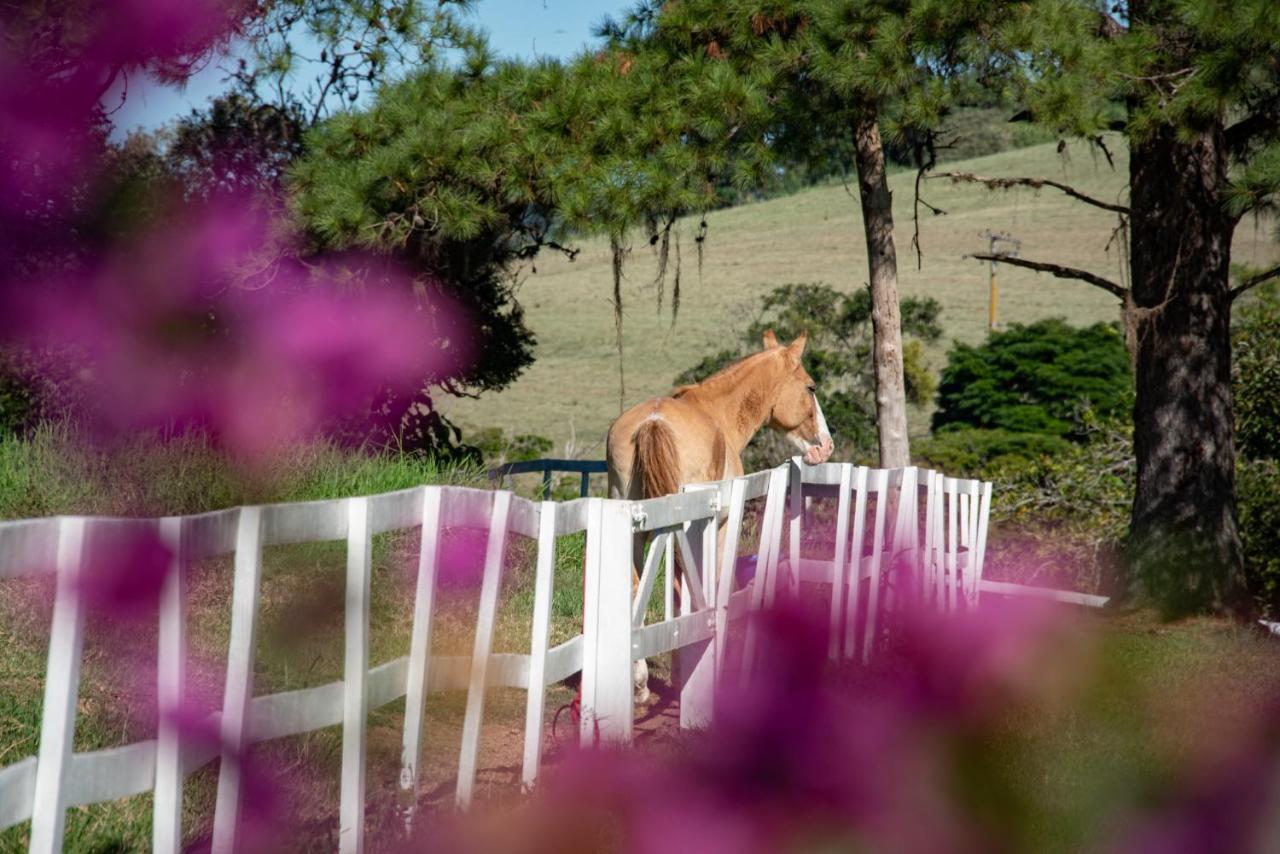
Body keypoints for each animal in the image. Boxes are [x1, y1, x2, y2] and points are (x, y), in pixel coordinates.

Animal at [604, 332, 834, 701]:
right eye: (810, 387)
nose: (825, 446)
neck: (718, 416)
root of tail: (653, 421)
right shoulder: (722, 528)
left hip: (635, 528)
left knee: (636, 590)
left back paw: (639, 683)